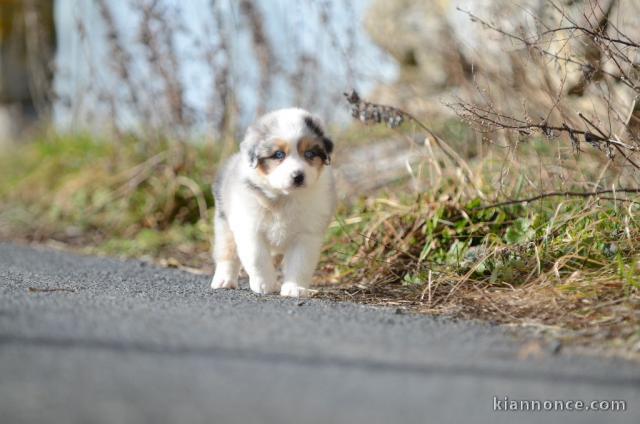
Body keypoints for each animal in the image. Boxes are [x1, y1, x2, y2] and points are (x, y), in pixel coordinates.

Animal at [212, 107, 338, 296]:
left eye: (309, 154)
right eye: (279, 154)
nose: (298, 176)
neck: (284, 197)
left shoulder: (307, 234)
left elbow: (300, 263)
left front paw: (294, 288)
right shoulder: (249, 228)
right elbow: (257, 257)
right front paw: (265, 284)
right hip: (225, 223)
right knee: (227, 254)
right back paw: (224, 280)